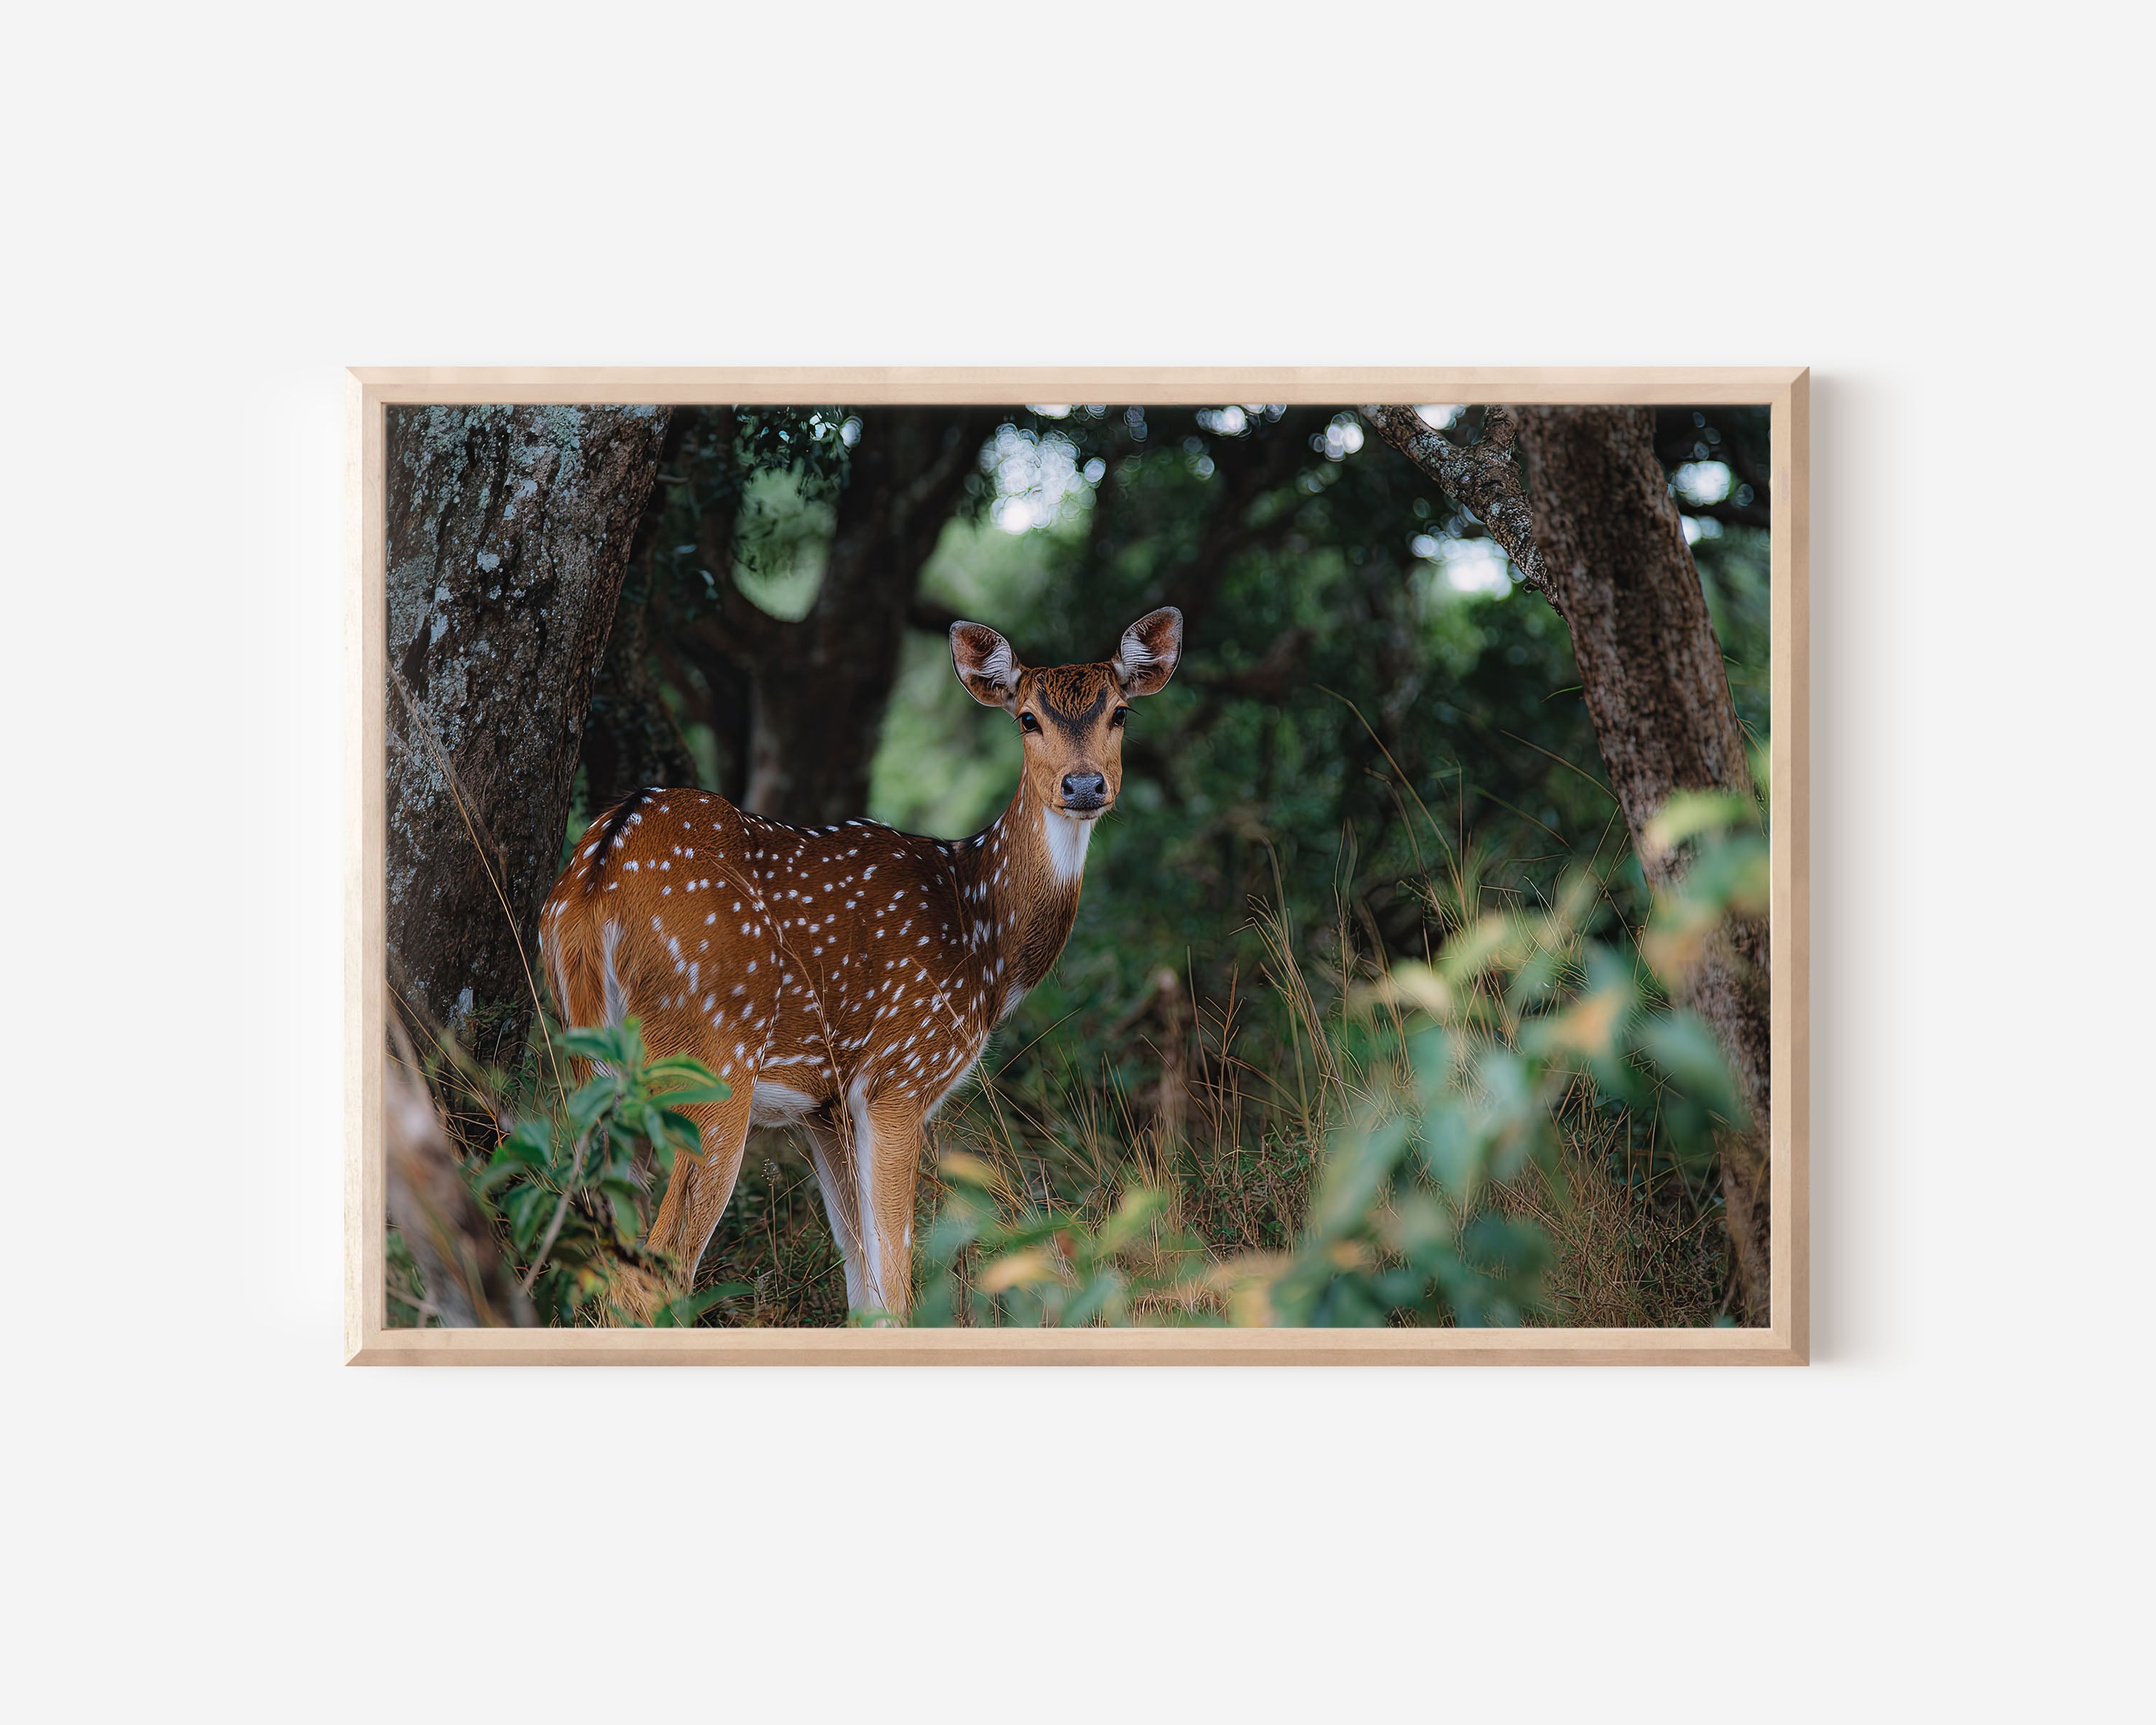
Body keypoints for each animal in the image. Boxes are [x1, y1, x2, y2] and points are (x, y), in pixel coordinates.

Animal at [538, 606, 1184, 1321]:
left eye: (1120, 712)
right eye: (1027, 718)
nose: (1084, 784)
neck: (981, 935)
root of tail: (595, 883)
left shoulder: (828, 1108)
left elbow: (864, 1289)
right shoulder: (901, 1074)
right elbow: (897, 1284)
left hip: (588, 1064)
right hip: (709, 1059)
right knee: (656, 1271)